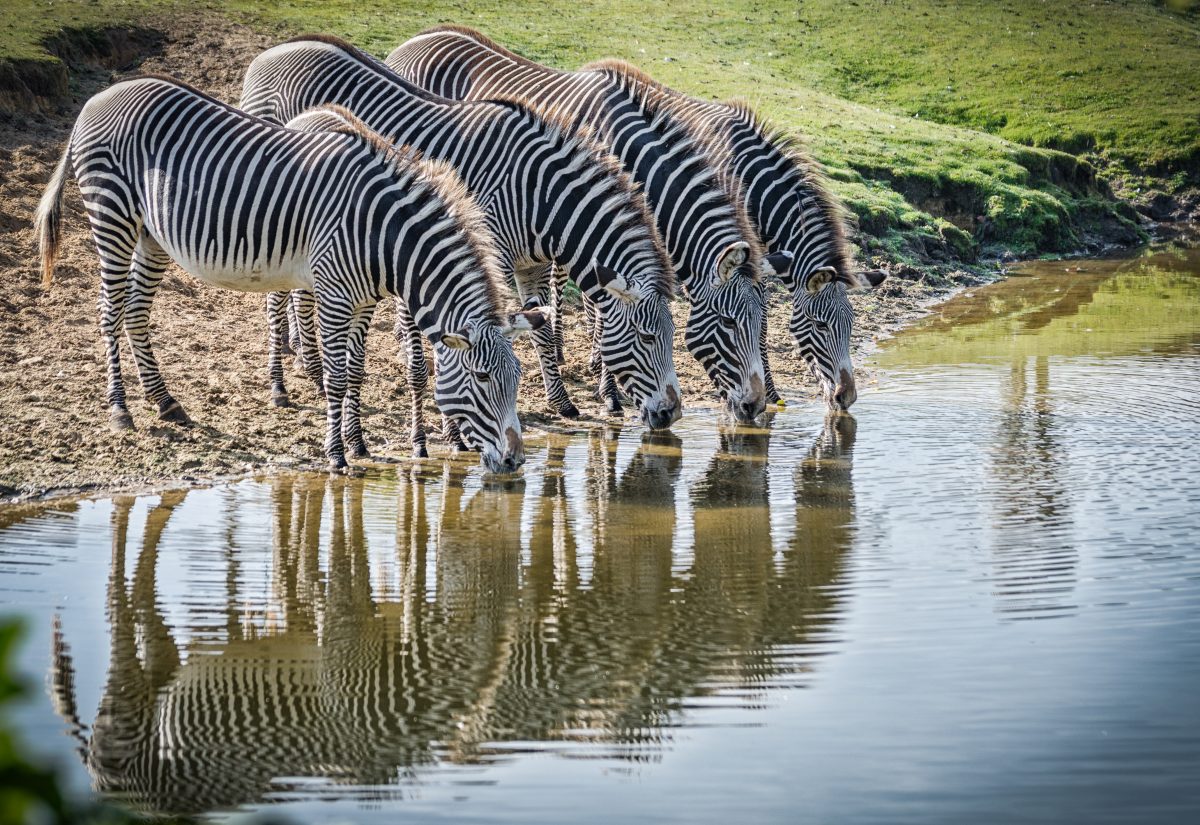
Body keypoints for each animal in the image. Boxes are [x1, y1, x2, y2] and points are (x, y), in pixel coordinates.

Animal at [36, 79, 544, 477]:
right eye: (482, 377)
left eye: (519, 377)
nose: (516, 462)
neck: (384, 233)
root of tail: (100, 96)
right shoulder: (336, 295)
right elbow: (337, 378)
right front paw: (337, 457)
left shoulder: (362, 301)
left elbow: (355, 372)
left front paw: (359, 444)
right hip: (112, 214)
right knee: (110, 310)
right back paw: (120, 409)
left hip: (152, 233)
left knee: (138, 312)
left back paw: (165, 402)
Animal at [238, 33, 681, 431]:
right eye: (646, 336)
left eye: (672, 335)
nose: (669, 415)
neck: (540, 195)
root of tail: (268, 55)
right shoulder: (487, 255)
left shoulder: (531, 265)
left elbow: (538, 329)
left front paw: (562, 403)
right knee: (278, 298)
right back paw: (280, 384)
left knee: (302, 293)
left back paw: (311, 370)